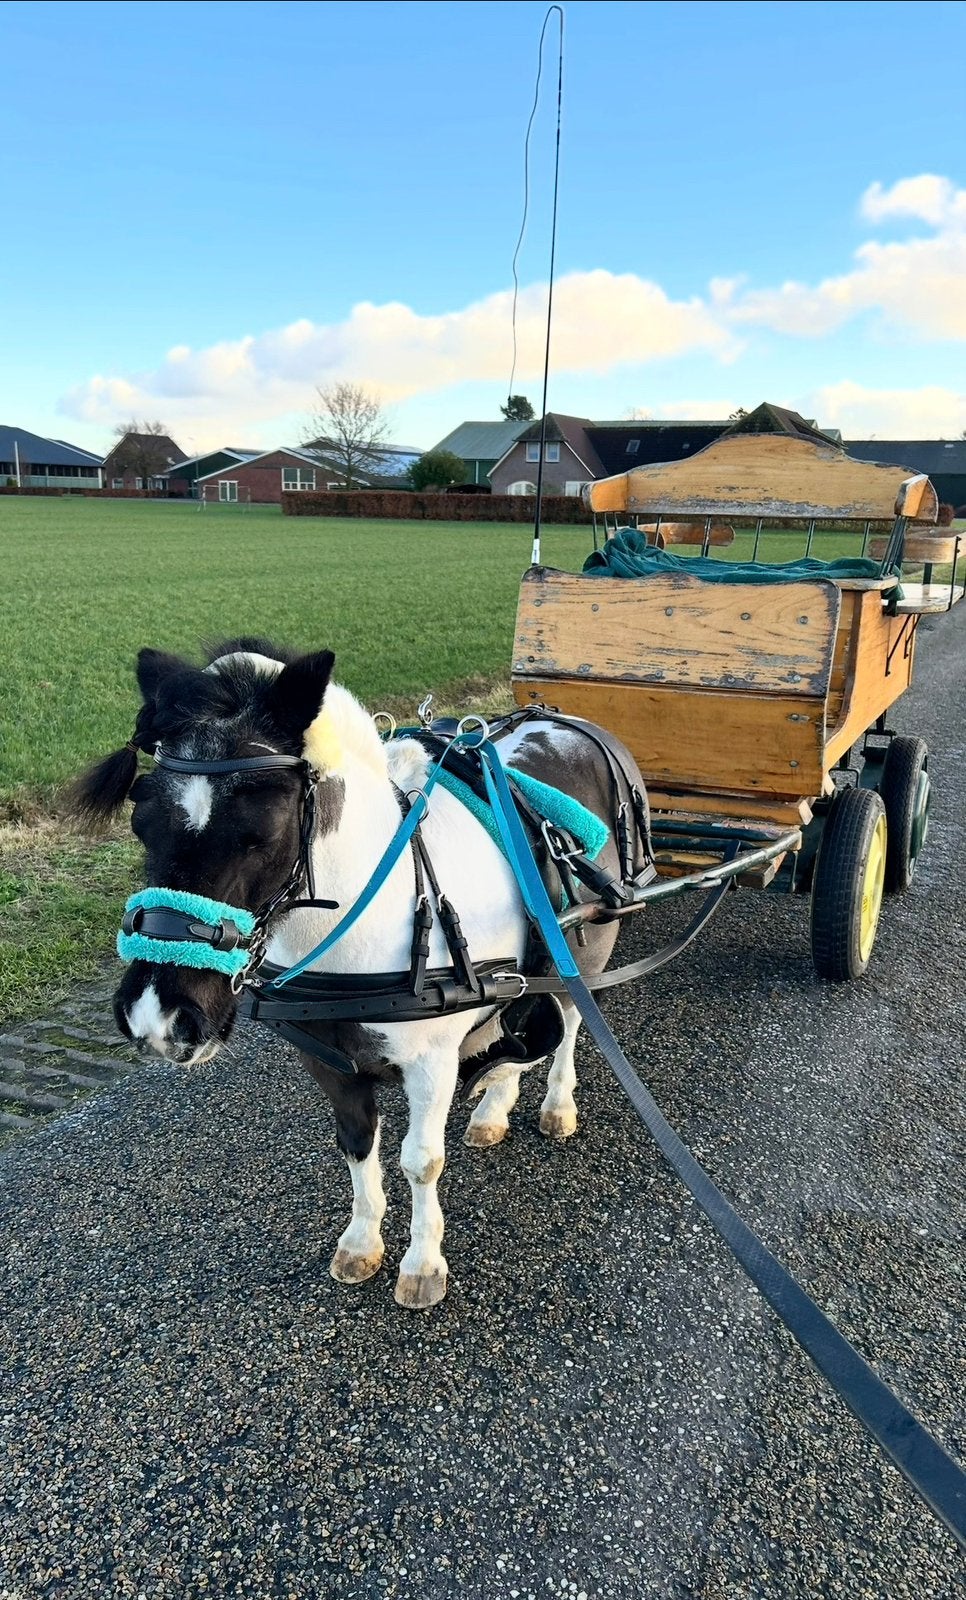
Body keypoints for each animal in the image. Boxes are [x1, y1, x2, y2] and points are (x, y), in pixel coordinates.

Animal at [72, 637, 652, 1309]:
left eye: (258, 832)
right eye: (142, 823)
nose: (157, 1015)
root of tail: (567, 721)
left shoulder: (431, 1061)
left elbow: (421, 1160)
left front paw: (422, 1264)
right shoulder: (328, 1060)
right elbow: (356, 1143)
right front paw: (361, 1242)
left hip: (585, 950)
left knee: (570, 1023)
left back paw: (556, 1103)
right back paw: (493, 1105)